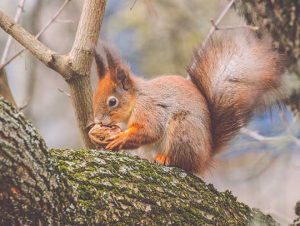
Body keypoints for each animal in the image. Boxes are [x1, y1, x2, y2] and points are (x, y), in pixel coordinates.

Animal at [90, 31, 284, 174]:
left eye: (112, 101)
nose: (98, 120)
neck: (137, 98)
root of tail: (205, 157)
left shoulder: (149, 108)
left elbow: (150, 130)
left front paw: (120, 138)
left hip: (182, 130)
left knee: (183, 162)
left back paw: (166, 158)